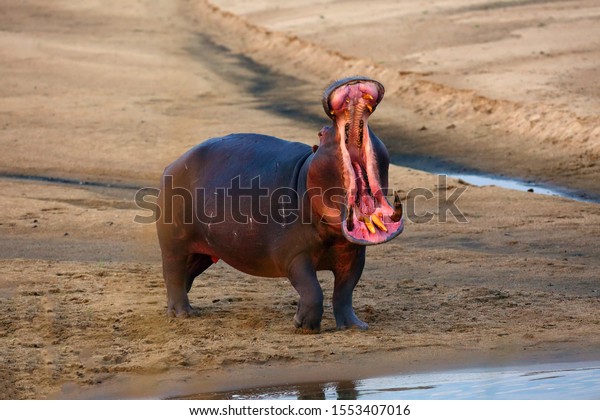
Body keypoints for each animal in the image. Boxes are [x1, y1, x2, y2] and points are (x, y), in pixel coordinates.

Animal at [157, 75, 406, 332]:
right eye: (321, 133)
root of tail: (172, 164)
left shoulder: (354, 255)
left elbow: (344, 292)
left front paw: (354, 326)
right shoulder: (293, 255)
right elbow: (312, 290)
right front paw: (304, 326)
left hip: (205, 250)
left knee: (185, 275)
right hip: (174, 243)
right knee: (173, 273)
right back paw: (183, 314)